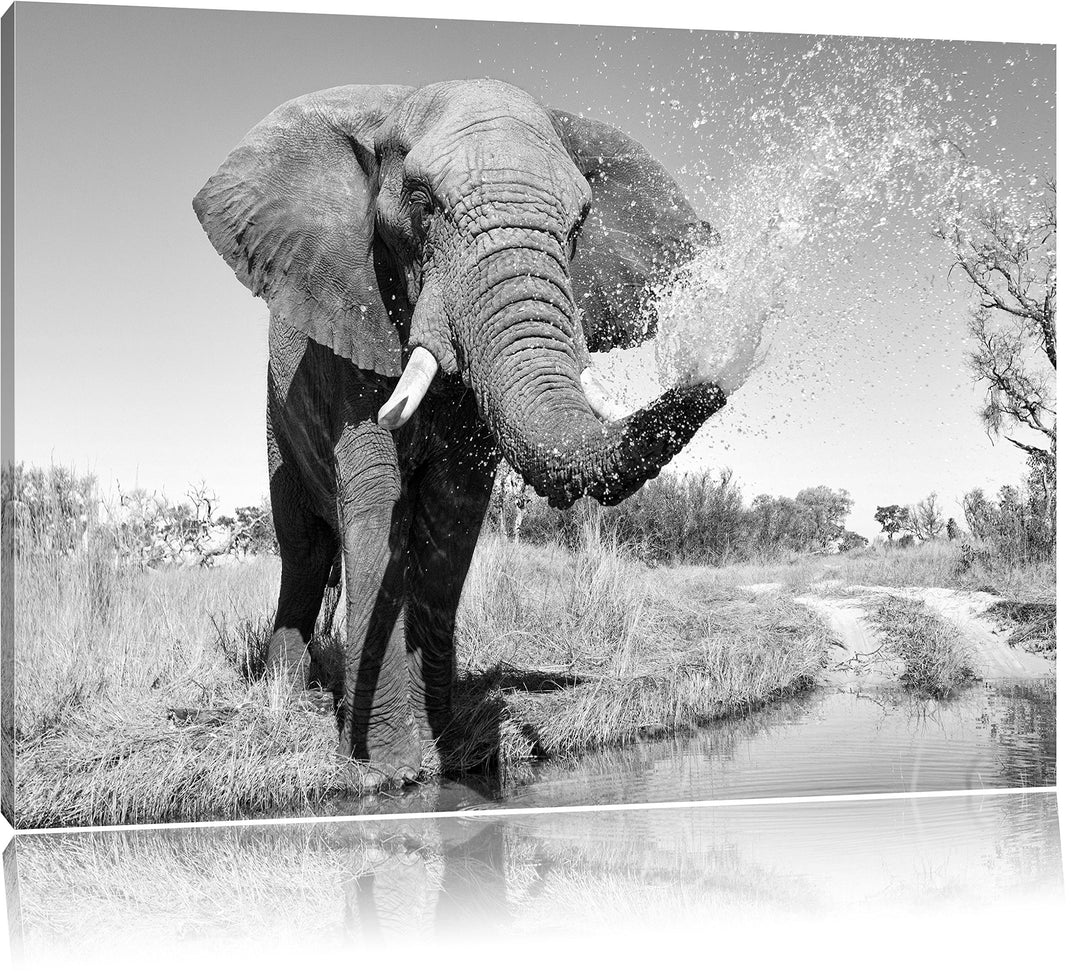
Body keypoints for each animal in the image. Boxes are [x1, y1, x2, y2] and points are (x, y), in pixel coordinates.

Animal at [193, 79, 728, 781]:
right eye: (421, 202)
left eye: (579, 224)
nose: (725, 363)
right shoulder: (349, 329)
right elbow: (378, 499)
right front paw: (387, 768)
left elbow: (452, 510)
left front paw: (448, 746)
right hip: (275, 419)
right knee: (303, 546)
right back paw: (287, 690)